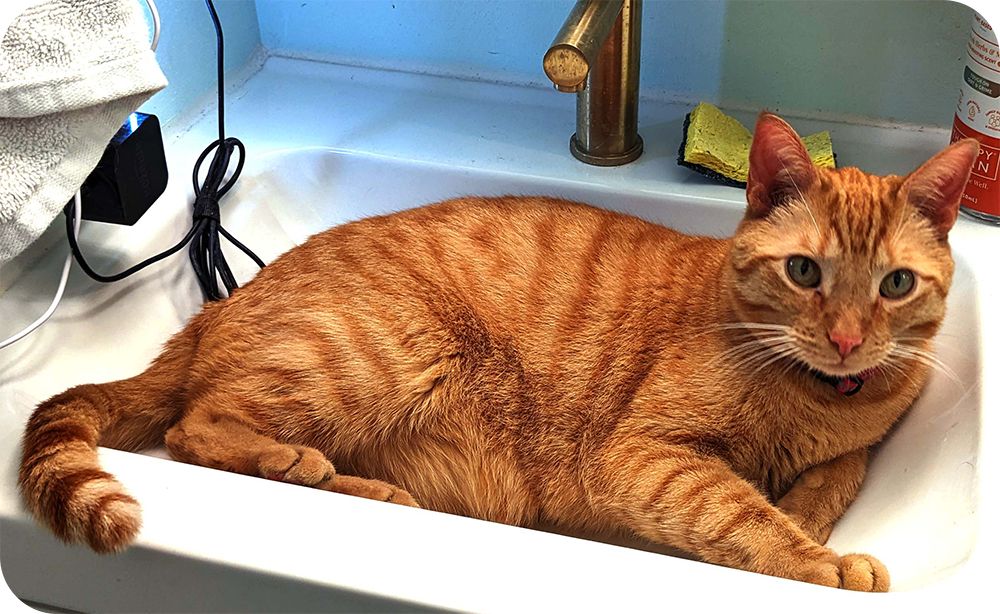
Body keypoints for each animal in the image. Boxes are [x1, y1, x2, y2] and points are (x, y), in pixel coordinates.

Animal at [17, 114, 976, 592]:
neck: (816, 394)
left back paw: (365, 488)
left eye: (895, 285)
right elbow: (742, 515)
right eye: (805, 271)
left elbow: (831, 481)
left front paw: (810, 514)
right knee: (194, 428)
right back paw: (305, 466)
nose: (847, 339)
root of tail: (219, 306)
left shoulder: (854, 442)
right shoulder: (643, 457)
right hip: (380, 350)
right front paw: (824, 562)